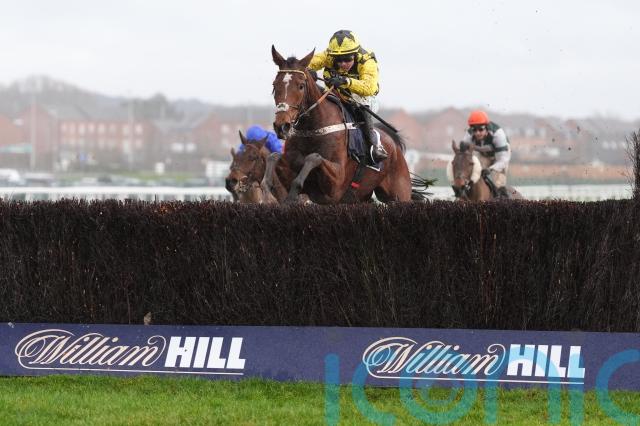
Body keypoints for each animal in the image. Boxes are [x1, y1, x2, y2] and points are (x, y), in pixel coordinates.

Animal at [264, 46, 415, 204]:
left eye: (301, 86)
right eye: (275, 85)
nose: (282, 126)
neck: (313, 129)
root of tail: (395, 146)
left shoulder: (336, 185)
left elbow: (313, 157)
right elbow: (273, 156)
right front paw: (268, 189)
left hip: (400, 194)